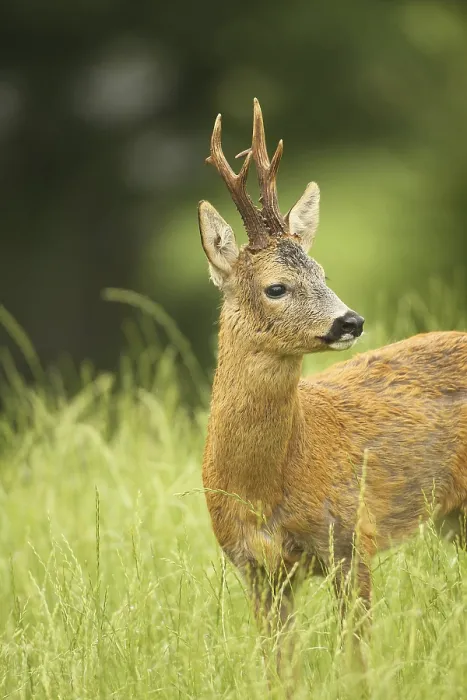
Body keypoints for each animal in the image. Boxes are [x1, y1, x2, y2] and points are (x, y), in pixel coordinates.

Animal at [198, 98, 467, 679]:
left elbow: (357, 657)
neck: (268, 484)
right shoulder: (255, 568)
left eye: (322, 271)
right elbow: (280, 670)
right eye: (276, 287)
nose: (351, 321)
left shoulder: (351, 539)